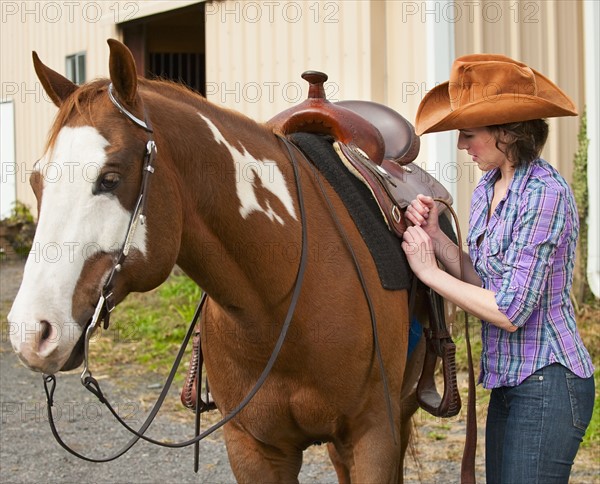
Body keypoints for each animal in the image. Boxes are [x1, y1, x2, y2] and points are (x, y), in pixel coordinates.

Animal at [7, 39, 424, 482]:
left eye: (110, 178)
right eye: (36, 180)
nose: (30, 332)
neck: (285, 303)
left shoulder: (372, 437)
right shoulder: (253, 447)